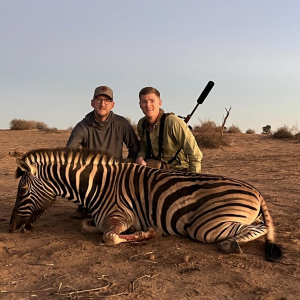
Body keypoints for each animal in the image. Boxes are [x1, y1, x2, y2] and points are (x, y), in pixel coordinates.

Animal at [8, 147, 282, 260]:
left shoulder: (121, 216)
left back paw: (230, 244)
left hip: (206, 227)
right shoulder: (103, 218)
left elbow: (110, 237)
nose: (10, 228)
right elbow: (87, 226)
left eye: (22, 190)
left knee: (259, 228)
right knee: (261, 225)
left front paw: (149, 233)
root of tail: (255, 191)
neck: (98, 186)